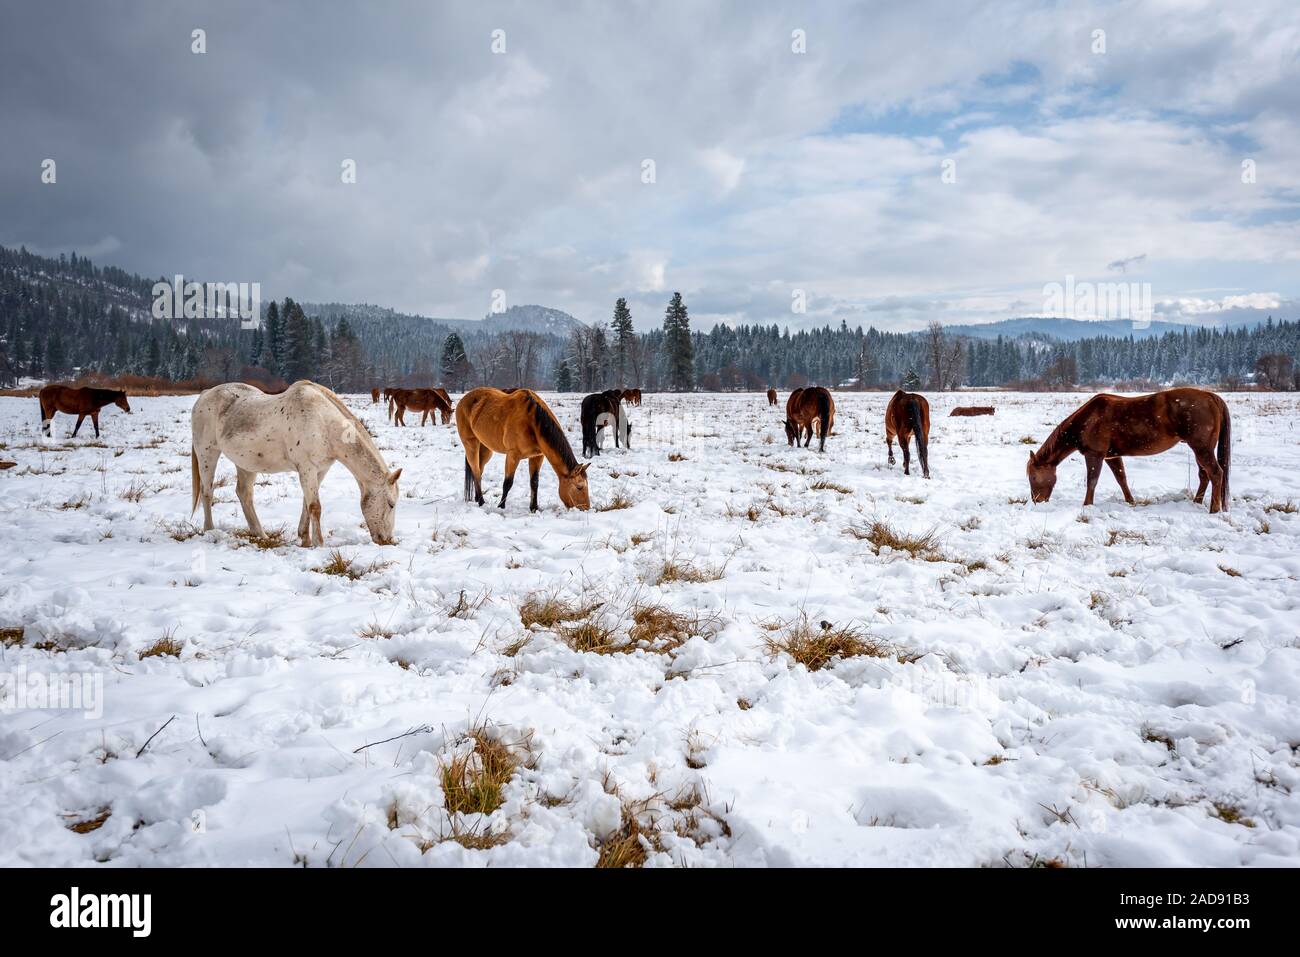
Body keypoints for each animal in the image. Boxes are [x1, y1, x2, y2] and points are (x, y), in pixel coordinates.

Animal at [191, 380, 401, 547]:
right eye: (391, 504)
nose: (386, 540)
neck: (323, 422)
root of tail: (205, 393)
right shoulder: (307, 468)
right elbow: (315, 506)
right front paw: (319, 543)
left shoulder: (320, 470)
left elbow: (306, 504)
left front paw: (305, 539)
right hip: (207, 454)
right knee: (207, 492)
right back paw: (210, 530)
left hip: (246, 464)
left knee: (244, 494)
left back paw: (261, 534)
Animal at [457, 387, 590, 511]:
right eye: (579, 487)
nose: (586, 508)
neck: (532, 422)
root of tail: (463, 401)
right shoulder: (513, 455)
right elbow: (508, 482)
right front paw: (501, 506)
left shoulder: (537, 456)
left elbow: (534, 482)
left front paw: (534, 508)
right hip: (471, 444)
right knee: (476, 470)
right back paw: (481, 501)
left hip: (485, 448)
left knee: (479, 470)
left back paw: (476, 498)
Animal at [1027, 388, 1231, 512]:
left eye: (1033, 477)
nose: (1036, 501)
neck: (1088, 419)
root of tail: (1211, 397)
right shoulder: (1111, 457)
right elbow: (1121, 479)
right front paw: (1131, 501)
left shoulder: (1095, 455)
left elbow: (1092, 481)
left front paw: (1087, 505)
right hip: (1200, 449)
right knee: (1204, 475)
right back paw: (1197, 502)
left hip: (1201, 448)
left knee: (1215, 473)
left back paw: (1213, 509)